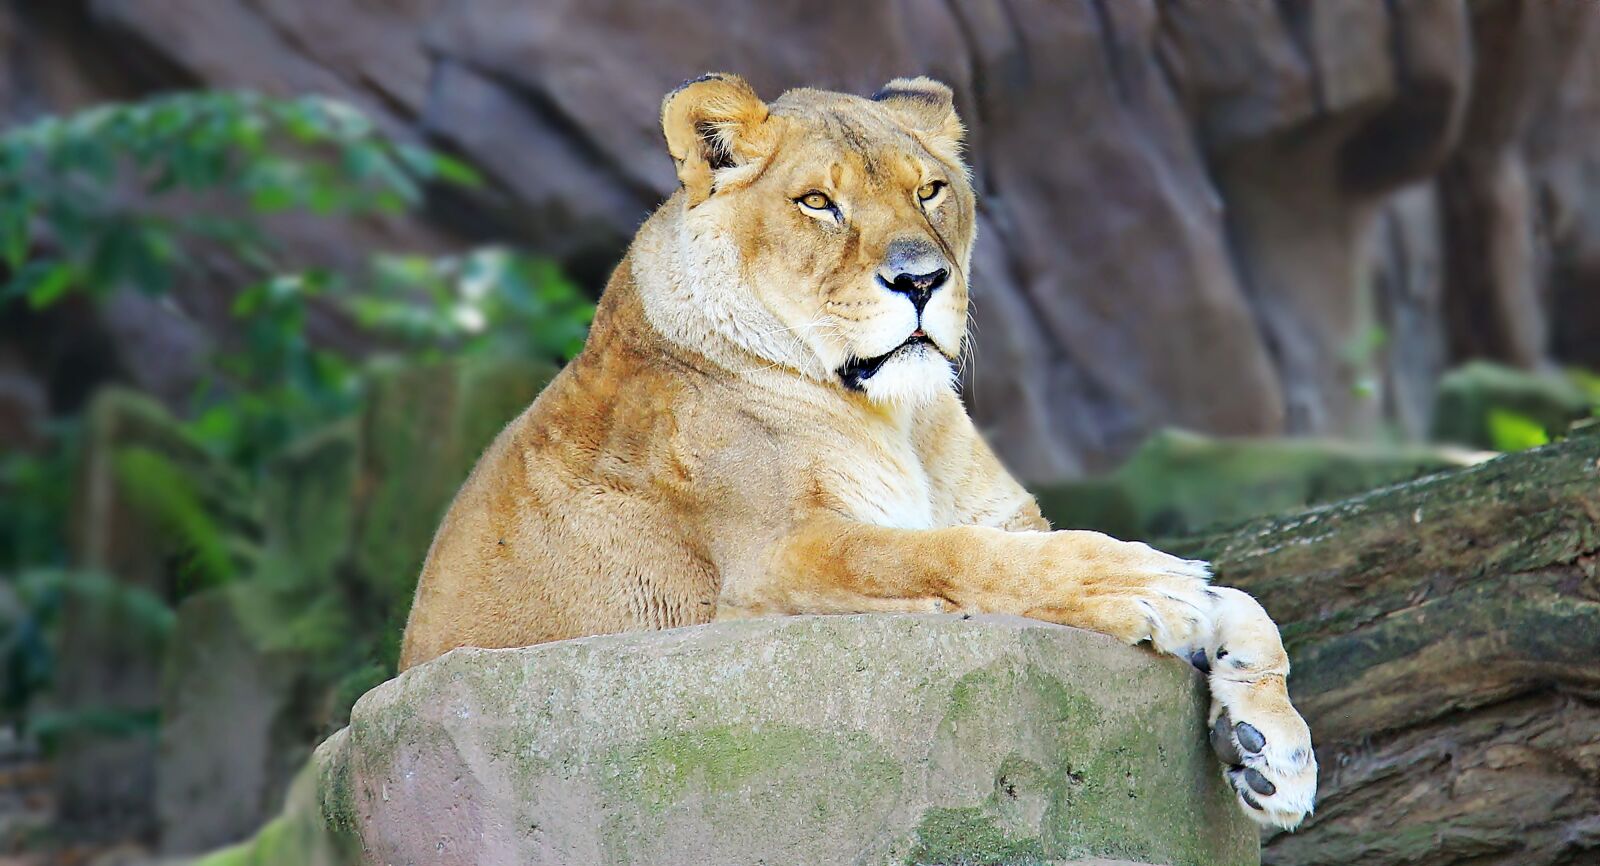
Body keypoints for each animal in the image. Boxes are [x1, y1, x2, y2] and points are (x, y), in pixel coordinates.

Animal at [399, 73, 1316, 828]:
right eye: (817, 203)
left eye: (930, 191)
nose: (920, 281)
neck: (900, 416)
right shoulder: (773, 563)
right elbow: (947, 554)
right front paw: (1133, 581)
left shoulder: (1010, 519)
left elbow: (1243, 603)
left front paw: (1273, 749)